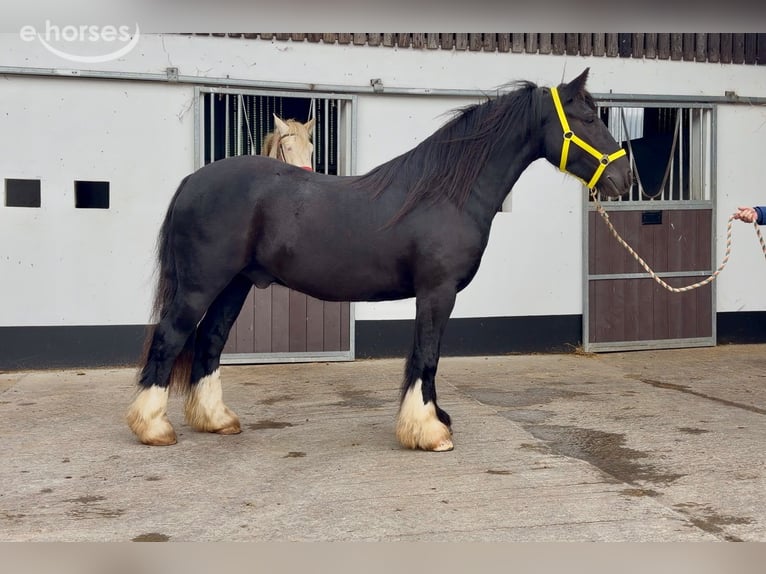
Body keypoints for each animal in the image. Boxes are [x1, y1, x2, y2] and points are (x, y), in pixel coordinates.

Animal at [127, 68, 632, 451]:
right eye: (589, 117)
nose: (624, 179)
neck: (444, 193)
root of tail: (193, 180)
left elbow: (428, 357)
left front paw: (435, 419)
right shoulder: (436, 292)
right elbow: (426, 355)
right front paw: (428, 431)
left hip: (235, 284)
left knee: (210, 342)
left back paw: (216, 420)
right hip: (201, 285)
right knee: (170, 339)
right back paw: (153, 427)